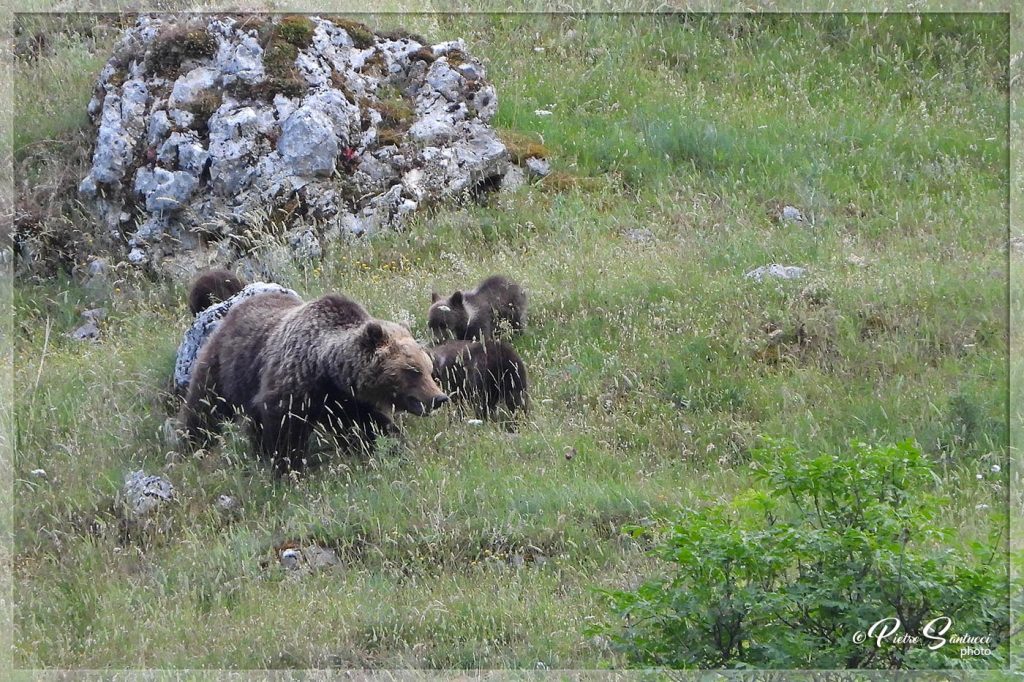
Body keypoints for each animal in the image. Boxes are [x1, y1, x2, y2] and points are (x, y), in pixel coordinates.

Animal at [182, 288, 446, 473]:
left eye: (428, 367)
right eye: (412, 370)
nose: (438, 397)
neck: (326, 367)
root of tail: (235, 307)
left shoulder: (345, 400)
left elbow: (369, 426)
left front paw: (394, 448)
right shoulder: (295, 385)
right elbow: (285, 429)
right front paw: (287, 469)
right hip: (225, 366)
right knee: (205, 407)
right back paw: (192, 443)